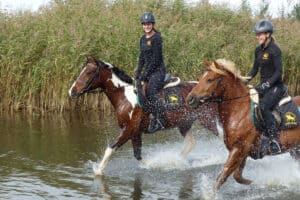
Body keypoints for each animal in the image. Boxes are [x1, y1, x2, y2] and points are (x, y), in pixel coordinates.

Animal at [68, 56, 218, 175]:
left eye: (89, 72)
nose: (72, 91)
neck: (124, 96)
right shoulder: (136, 132)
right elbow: (138, 155)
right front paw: (155, 164)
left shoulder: (129, 129)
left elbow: (110, 149)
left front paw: (99, 171)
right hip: (184, 123)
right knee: (190, 143)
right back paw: (178, 160)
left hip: (207, 120)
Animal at [188, 59, 300, 191]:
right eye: (201, 77)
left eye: (210, 79)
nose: (190, 99)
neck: (238, 110)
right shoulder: (243, 151)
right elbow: (237, 176)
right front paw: (251, 182)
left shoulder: (239, 149)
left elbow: (222, 176)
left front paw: (210, 194)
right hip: (295, 149)